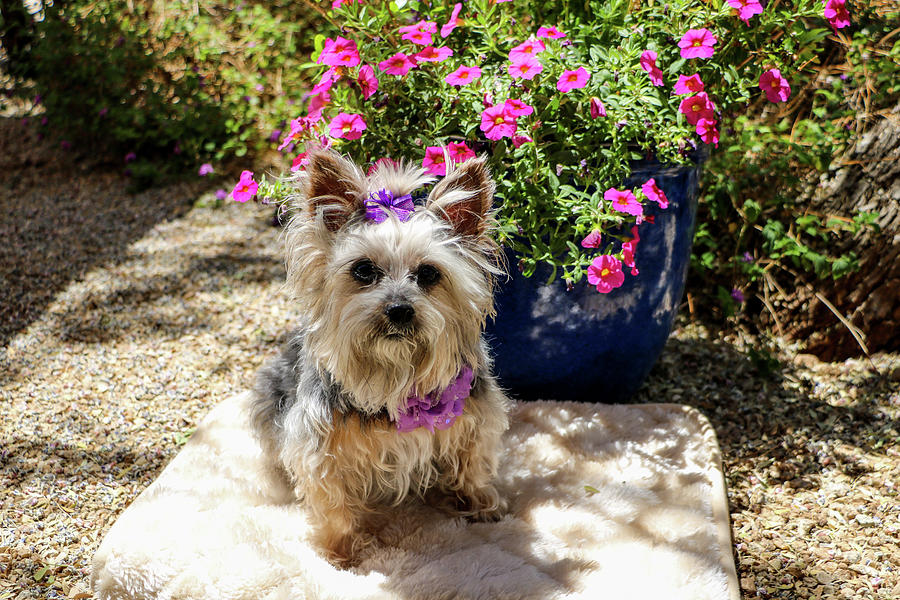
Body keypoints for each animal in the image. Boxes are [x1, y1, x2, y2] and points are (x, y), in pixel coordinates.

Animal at [250, 149, 510, 568]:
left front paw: (480, 502)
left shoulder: (476, 416)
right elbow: (332, 502)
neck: (396, 373)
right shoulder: (318, 447)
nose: (399, 309)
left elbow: (473, 462)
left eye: (429, 273)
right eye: (363, 270)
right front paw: (341, 554)